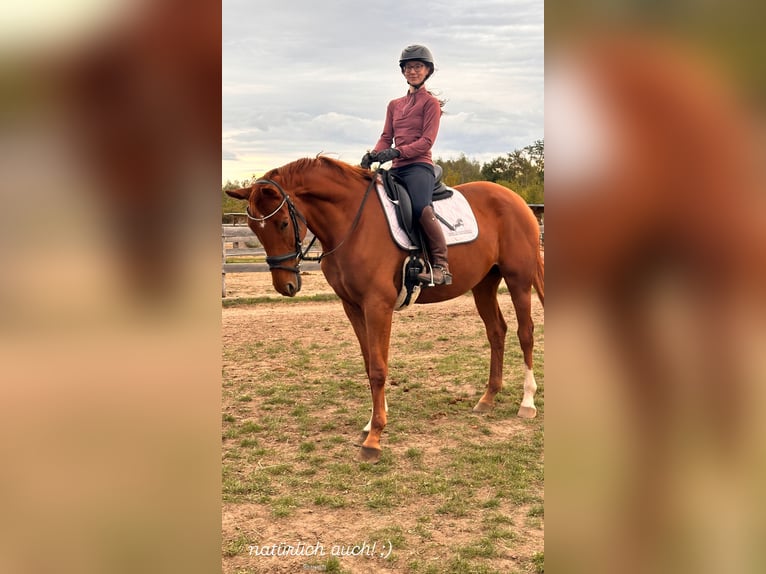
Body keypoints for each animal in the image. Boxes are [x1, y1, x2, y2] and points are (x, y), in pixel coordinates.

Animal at [226, 156, 544, 462]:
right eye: (253, 228)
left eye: (282, 223)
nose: (285, 285)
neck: (353, 224)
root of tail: (516, 201)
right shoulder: (353, 307)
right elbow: (369, 364)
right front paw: (371, 423)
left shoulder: (377, 306)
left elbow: (379, 368)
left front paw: (374, 439)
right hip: (484, 284)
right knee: (496, 331)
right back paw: (488, 398)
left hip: (518, 280)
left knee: (525, 333)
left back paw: (527, 402)